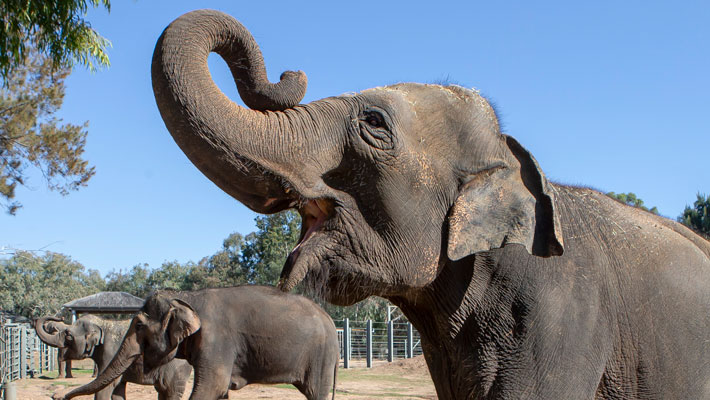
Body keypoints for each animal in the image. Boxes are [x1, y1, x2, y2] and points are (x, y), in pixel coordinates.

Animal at [35, 314, 192, 400]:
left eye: (68, 335)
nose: (57, 396)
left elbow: (105, 388)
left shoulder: (111, 352)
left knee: (171, 391)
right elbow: (118, 389)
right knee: (162, 391)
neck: (103, 324)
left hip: (176, 369)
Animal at [53, 286, 339, 400]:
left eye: (139, 326)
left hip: (320, 357)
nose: (56, 396)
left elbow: (211, 387)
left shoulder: (217, 340)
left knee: (316, 392)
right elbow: (220, 391)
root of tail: (330, 319)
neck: (189, 298)